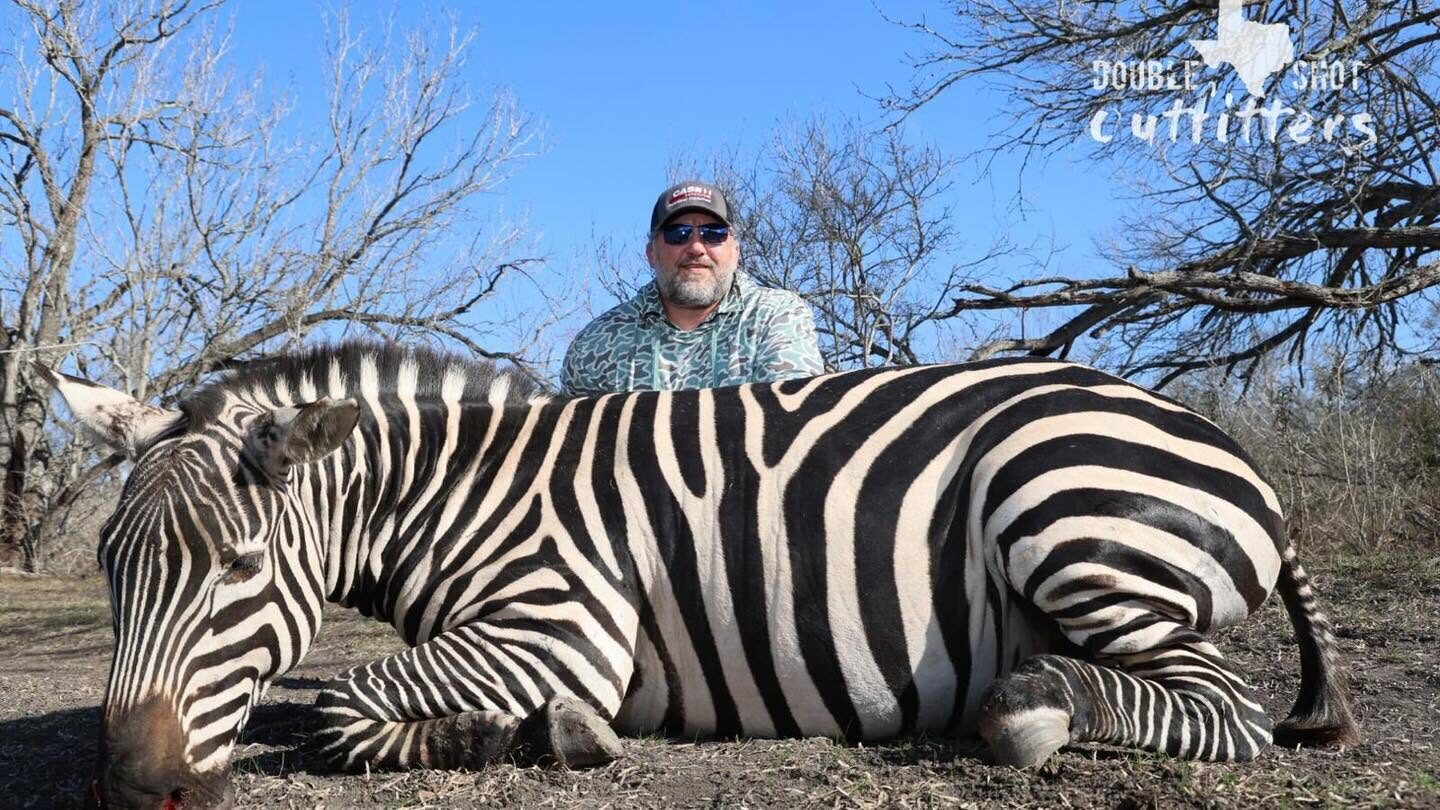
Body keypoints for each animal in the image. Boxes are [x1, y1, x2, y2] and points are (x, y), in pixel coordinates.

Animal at [39, 342, 1357, 809]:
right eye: (108, 569)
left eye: (237, 568)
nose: (134, 786)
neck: (458, 494)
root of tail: (1210, 431)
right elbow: (341, 707)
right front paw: (509, 733)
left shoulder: (564, 621)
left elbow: (342, 706)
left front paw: (545, 734)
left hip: (1062, 510)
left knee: (1223, 710)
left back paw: (1032, 706)